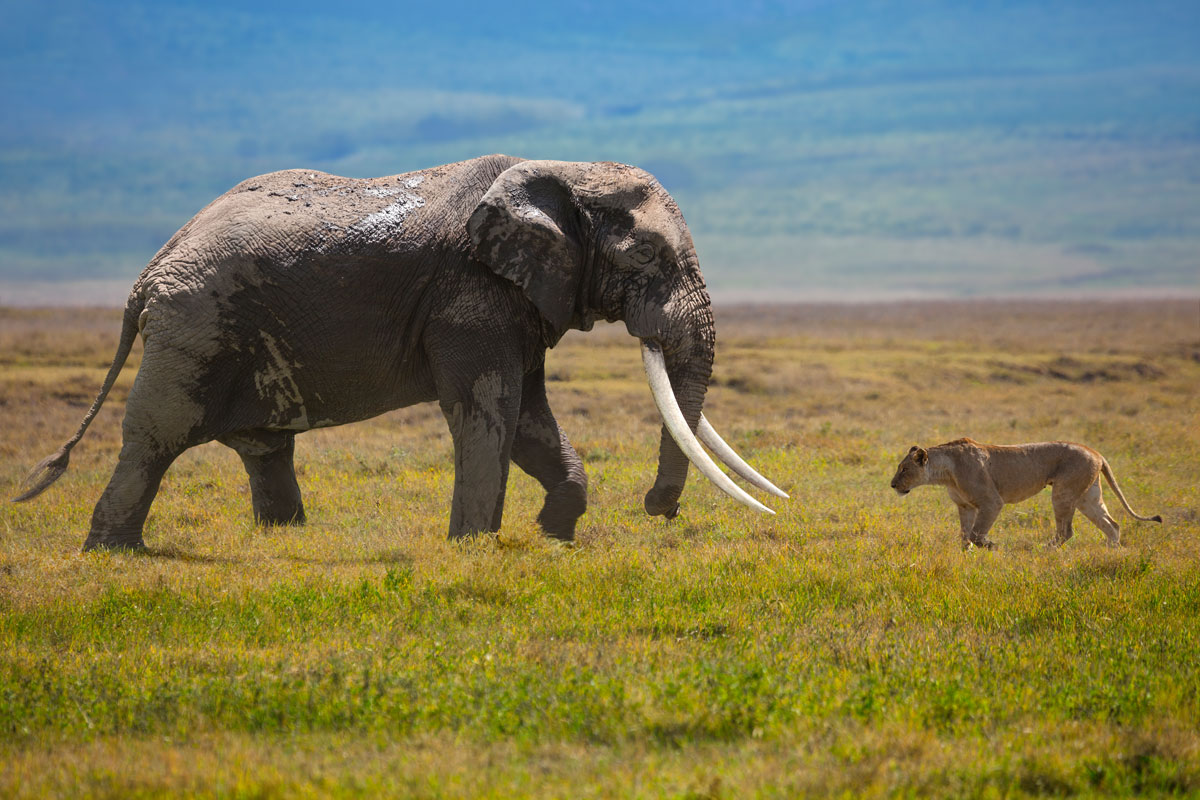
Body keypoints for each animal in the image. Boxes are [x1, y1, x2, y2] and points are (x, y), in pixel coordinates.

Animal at [21, 152, 787, 551]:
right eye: (648, 255)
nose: (658, 510)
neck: (560, 168)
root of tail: (151, 270)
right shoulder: (470, 296)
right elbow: (490, 413)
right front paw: (474, 548)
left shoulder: (516, 300)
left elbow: (530, 420)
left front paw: (553, 536)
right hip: (195, 326)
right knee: (157, 437)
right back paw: (113, 552)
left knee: (265, 446)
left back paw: (288, 543)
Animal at [892, 438, 1161, 551]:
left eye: (904, 469)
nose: (893, 485)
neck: (946, 471)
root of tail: (1096, 452)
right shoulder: (965, 506)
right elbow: (964, 534)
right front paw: (966, 553)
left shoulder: (991, 502)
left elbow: (977, 534)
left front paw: (992, 546)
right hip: (1088, 497)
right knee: (1112, 524)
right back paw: (1111, 552)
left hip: (1063, 492)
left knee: (1066, 531)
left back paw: (1043, 549)